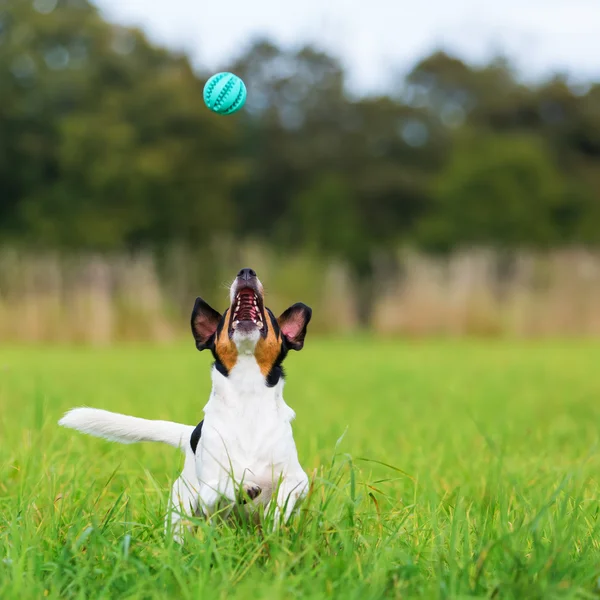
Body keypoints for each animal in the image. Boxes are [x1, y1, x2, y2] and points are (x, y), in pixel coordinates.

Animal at [58, 270, 312, 540]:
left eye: (269, 314)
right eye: (225, 314)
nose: (246, 272)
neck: (247, 396)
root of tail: (190, 433)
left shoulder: (300, 479)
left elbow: (286, 494)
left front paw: (275, 517)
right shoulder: (207, 492)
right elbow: (219, 487)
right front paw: (240, 487)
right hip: (182, 512)